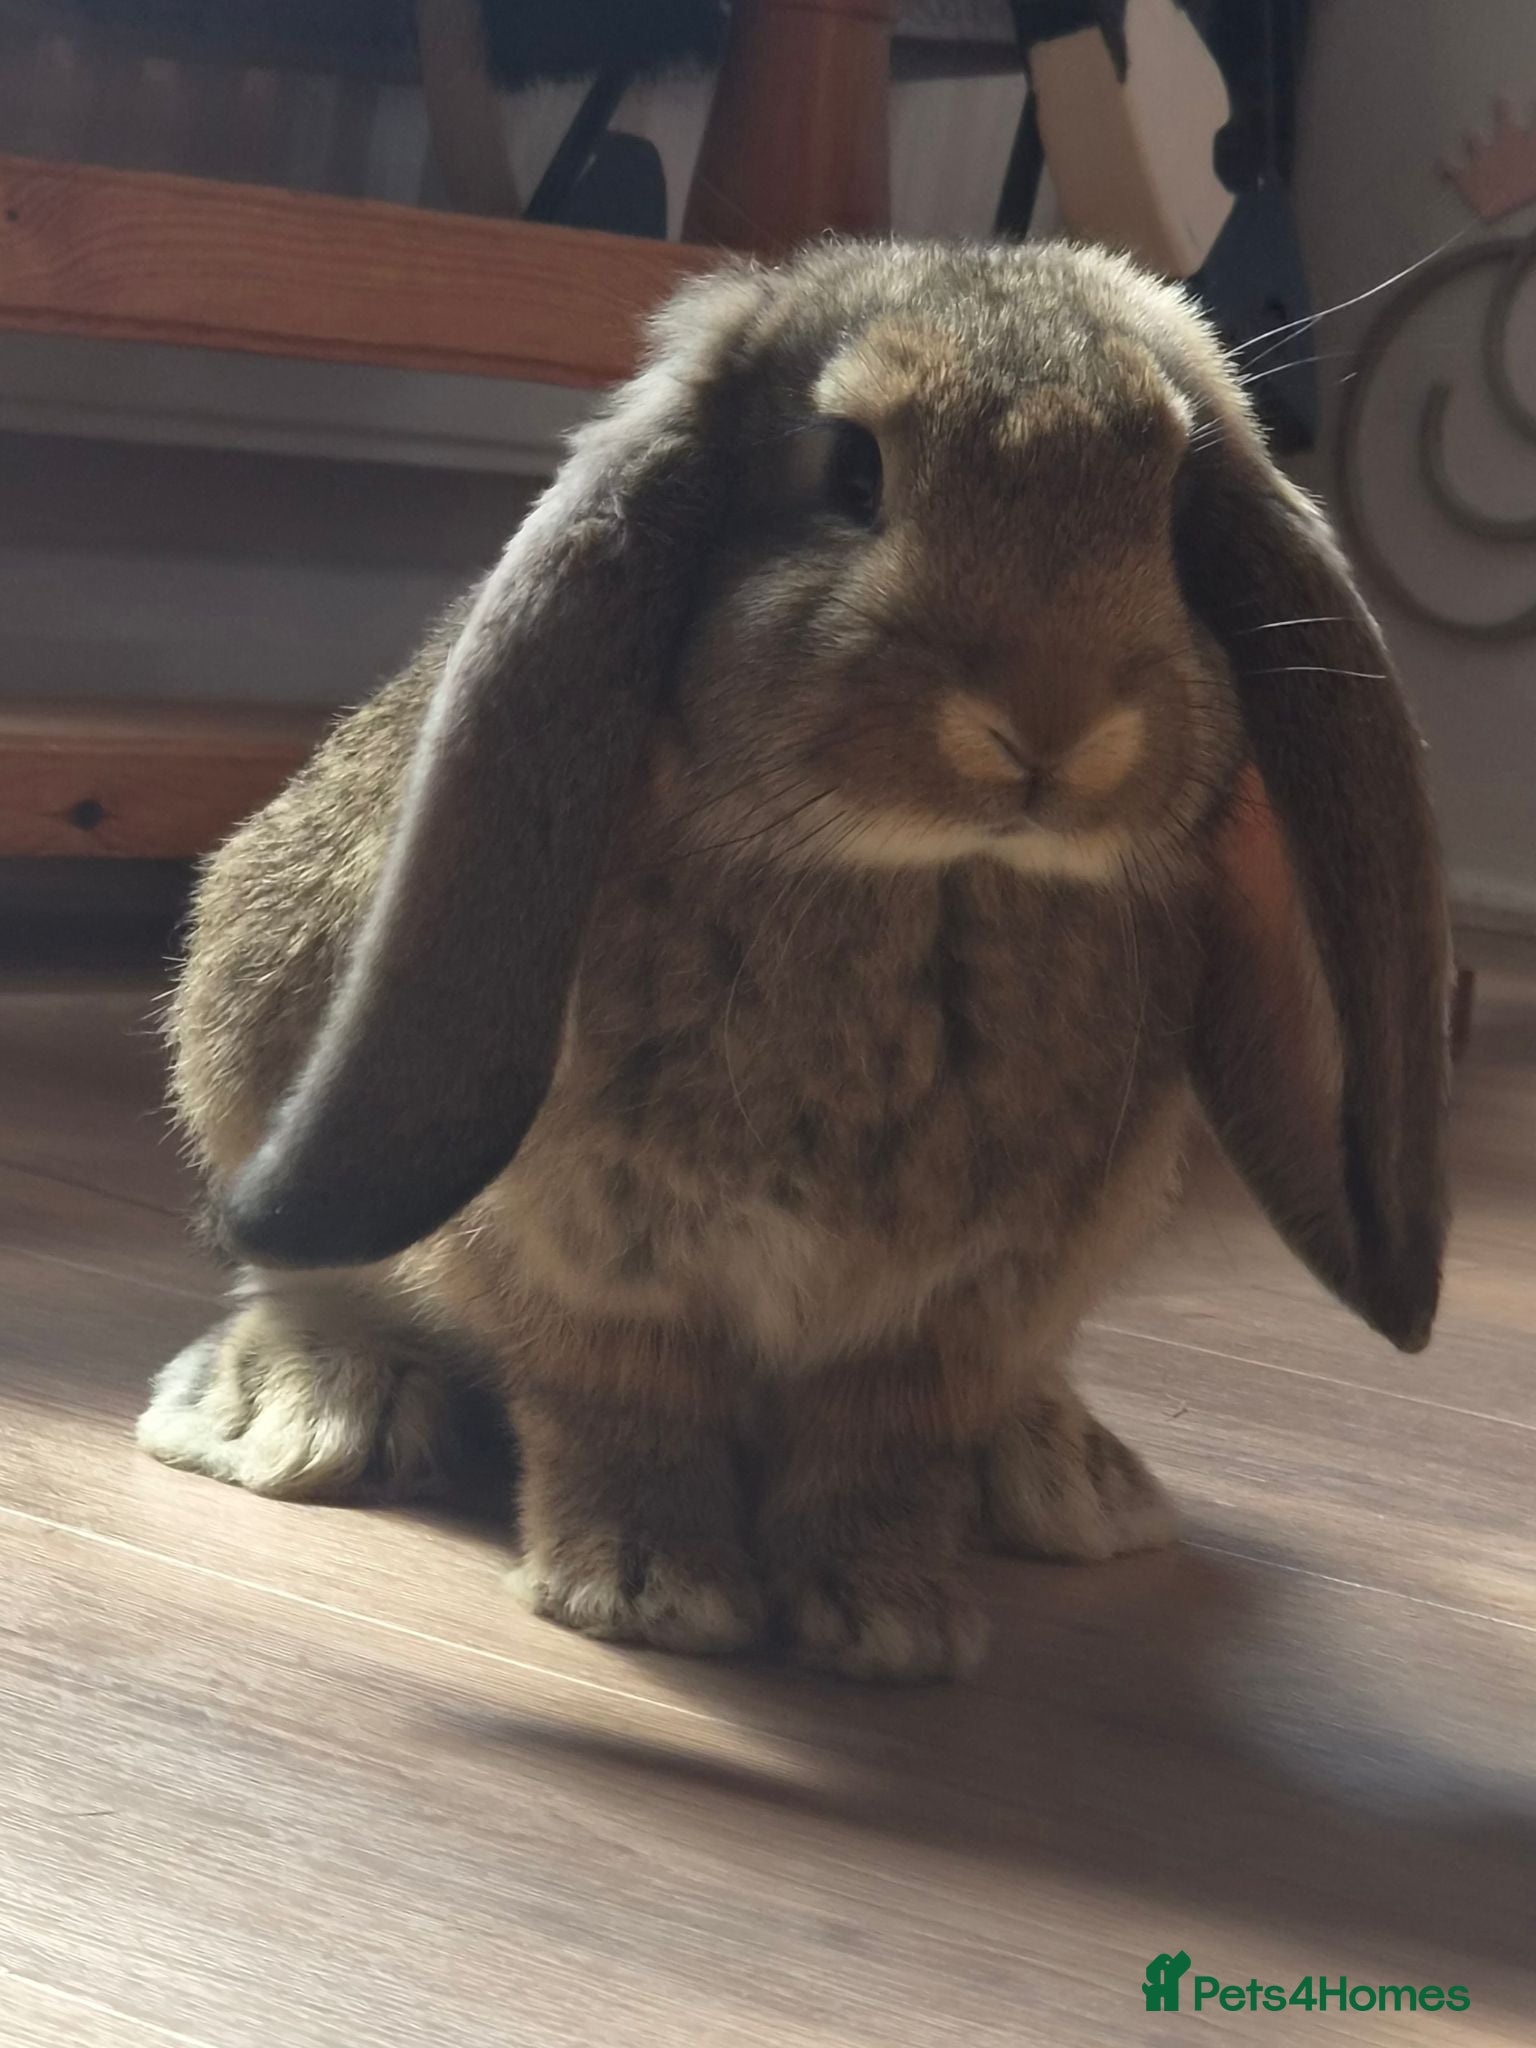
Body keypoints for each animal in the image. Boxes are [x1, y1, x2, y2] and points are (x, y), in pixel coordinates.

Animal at [138, 239, 1449, 1683]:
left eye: (1169, 510)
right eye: (850, 473)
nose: (1054, 724)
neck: (926, 890)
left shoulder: (948, 1320)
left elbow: (877, 1454)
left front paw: (887, 1622)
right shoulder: (584, 1267)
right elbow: (621, 1410)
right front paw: (647, 1590)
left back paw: (1068, 1478)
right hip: (248, 1054)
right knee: (306, 1276)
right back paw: (302, 1414)